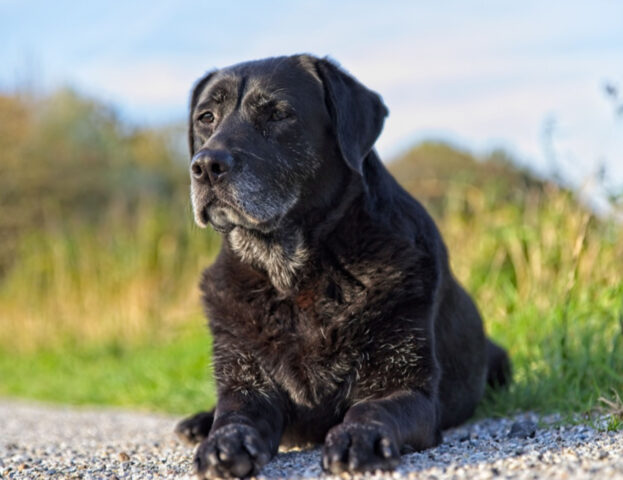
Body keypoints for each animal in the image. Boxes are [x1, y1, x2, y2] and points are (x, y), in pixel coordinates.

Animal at [177, 54, 512, 478]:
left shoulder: (406, 387)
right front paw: (222, 442)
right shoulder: (245, 383)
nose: (205, 165)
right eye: (206, 117)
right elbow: (233, 415)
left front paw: (358, 437)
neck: (292, 275)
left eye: (278, 114)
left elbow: (372, 408)